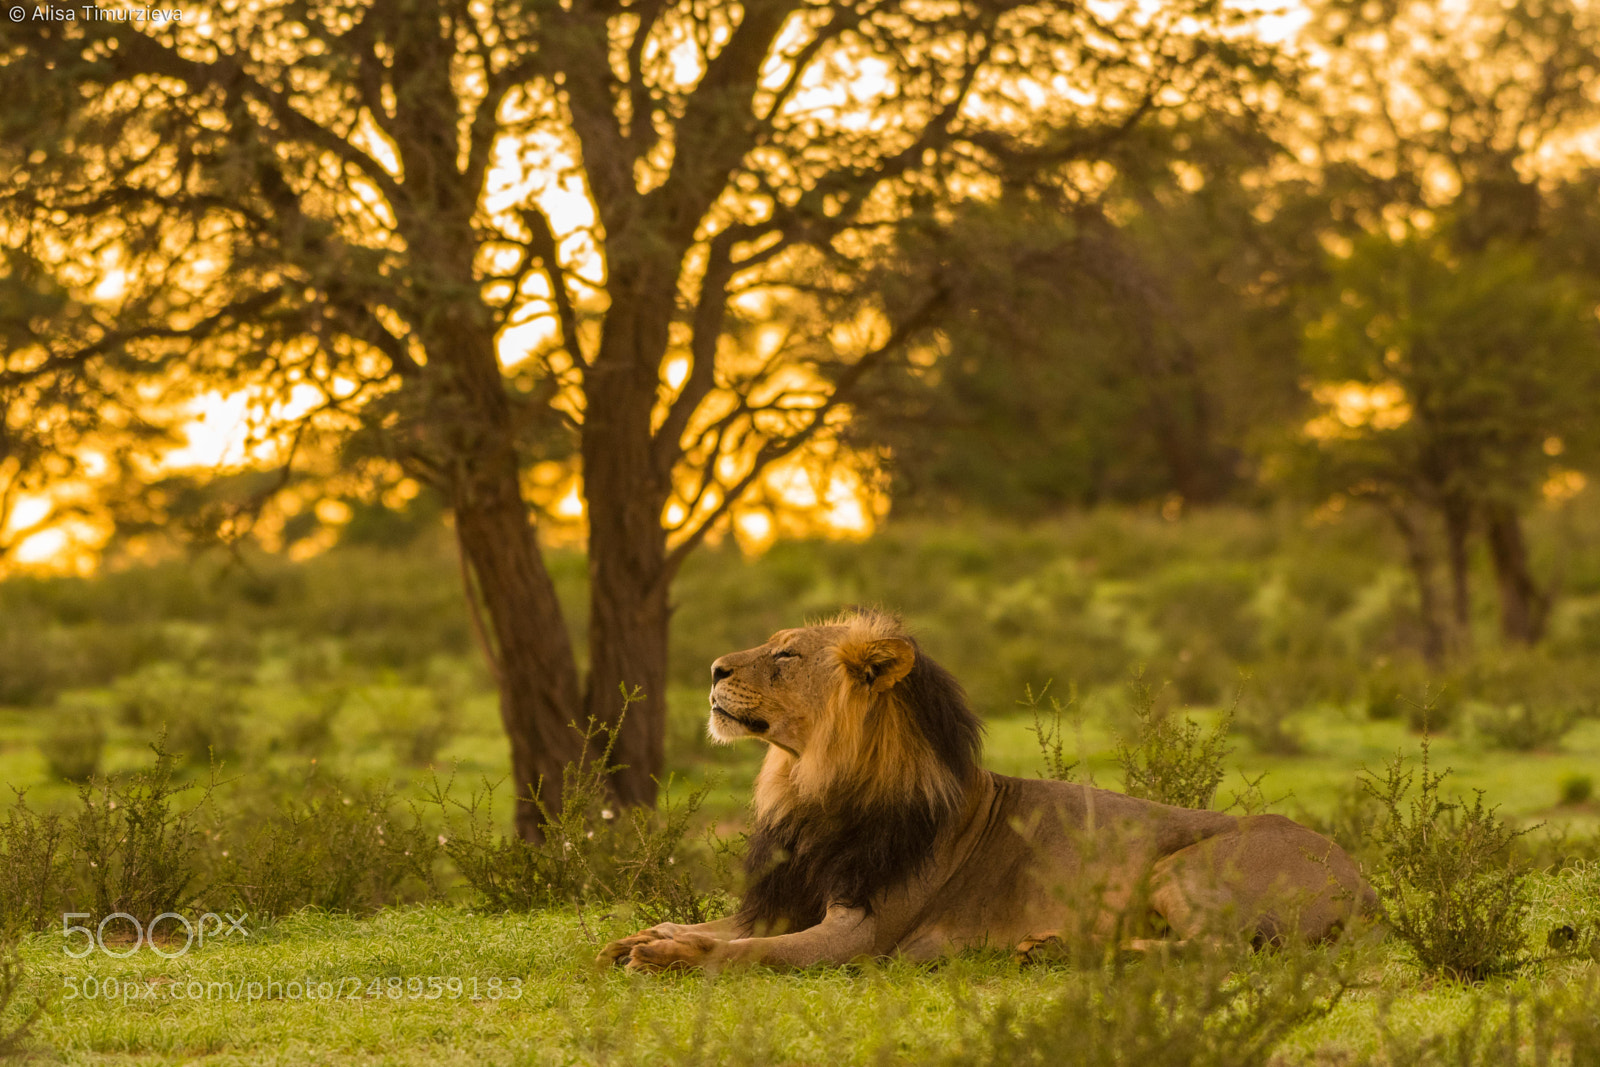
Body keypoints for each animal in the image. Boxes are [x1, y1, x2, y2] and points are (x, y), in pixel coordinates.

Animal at [598, 610, 1375, 972]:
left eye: (785, 654)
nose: (713, 668)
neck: (808, 785)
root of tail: (1366, 884)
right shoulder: (785, 898)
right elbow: (722, 927)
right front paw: (649, 934)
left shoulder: (862, 933)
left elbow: (745, 953)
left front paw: (666, 956)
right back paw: (1052, 946)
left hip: (1180, 867)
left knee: (1216, 952)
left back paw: (1062, 951)